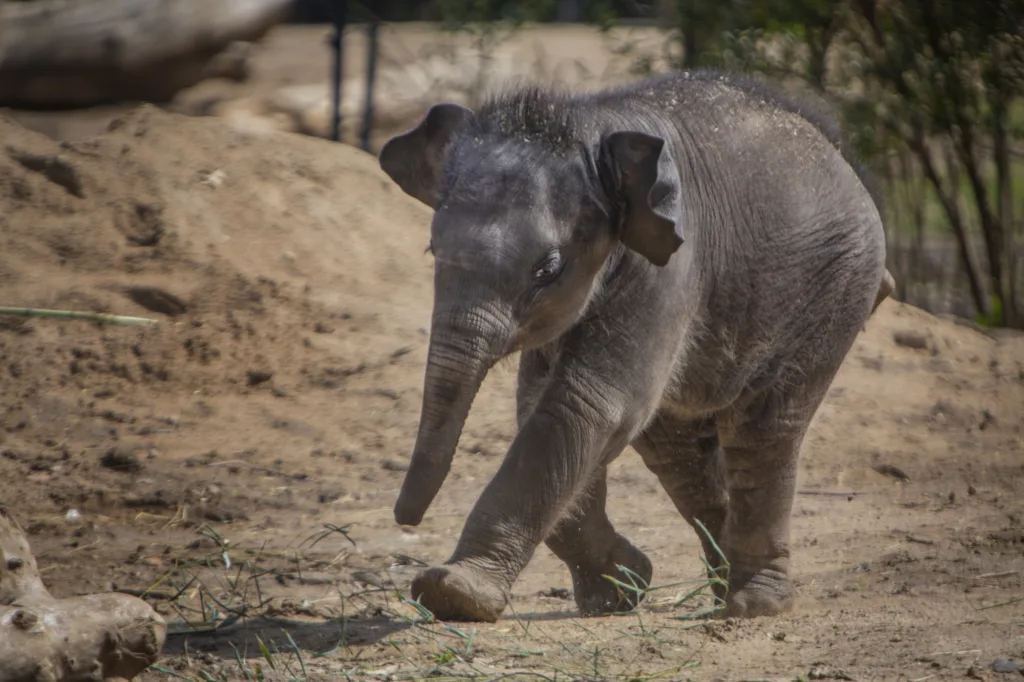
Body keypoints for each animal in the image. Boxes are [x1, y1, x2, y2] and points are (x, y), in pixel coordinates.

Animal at [377, 69, 892, 623]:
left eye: (547, 268)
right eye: (432, 249)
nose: (405, 519)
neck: (591, 123)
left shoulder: (670, 269)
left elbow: (587, 404)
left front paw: (452, 594)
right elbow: (545, 407)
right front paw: (621, 589)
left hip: (835, 288)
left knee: (765, 431)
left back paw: (752, 605)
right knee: (679, 457)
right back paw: (719, 583)